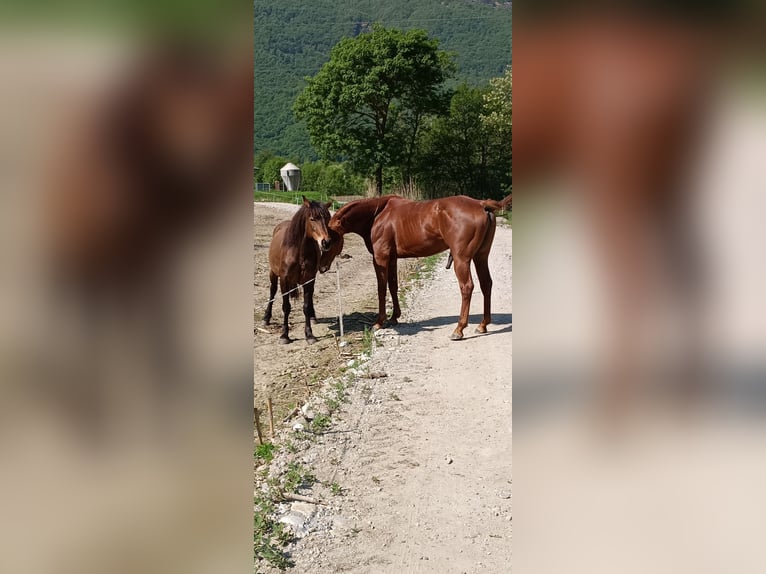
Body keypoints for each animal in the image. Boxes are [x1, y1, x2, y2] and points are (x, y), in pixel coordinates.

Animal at [263, 197, 337, 344]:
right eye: (312, 218)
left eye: (327, 218)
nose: (326, 242)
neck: (299, 251)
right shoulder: (284, 280)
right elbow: (286, 307)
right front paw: (284, 335)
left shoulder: (309, 279)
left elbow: (306, 307)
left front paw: (309, 334)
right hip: (273, 273)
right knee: (272, 291)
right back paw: (266, 317)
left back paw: (313, 317)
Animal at [329, 194, 512, 340]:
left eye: (331, 237)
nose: (324, 245)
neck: (378, 214)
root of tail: (481, 204)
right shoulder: (392, 259)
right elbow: (393, 286)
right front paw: (394, 317)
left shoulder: (380, 258)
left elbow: (381, 288)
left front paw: (380, 322)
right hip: (480, 257)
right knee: (486, 284)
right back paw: (483, 325)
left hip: (462, 260)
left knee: (467, 287)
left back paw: (459, 329)